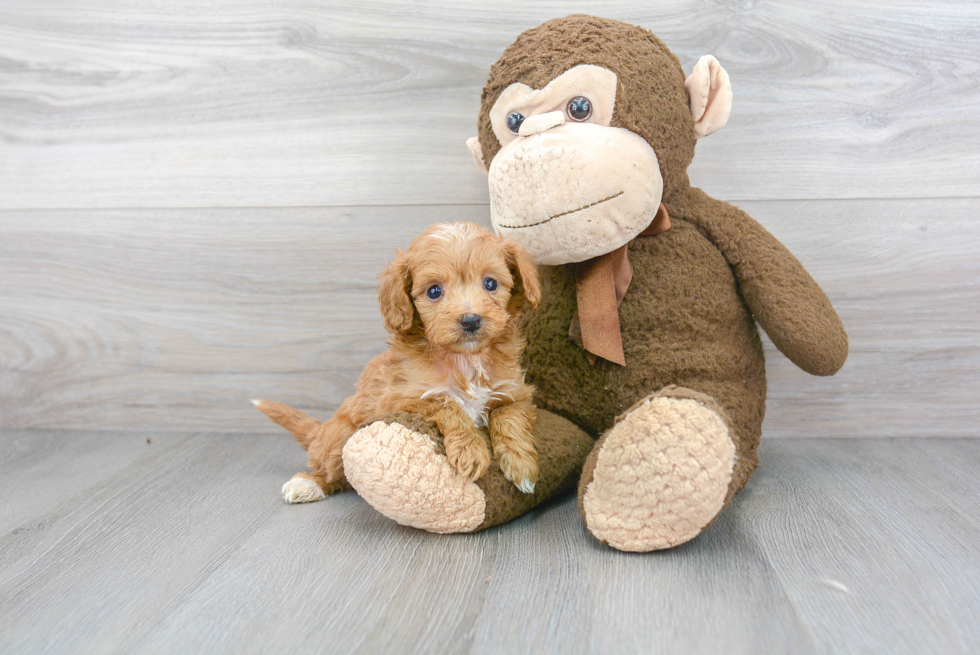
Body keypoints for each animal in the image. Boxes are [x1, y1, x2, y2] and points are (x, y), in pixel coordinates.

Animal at [253, 223, 544, 504]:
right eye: (434, 291)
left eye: (490, 284)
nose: (470, 320)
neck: (465, 359)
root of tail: (321, 430)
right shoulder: (401, 398)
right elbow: (446, 403)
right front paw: (470, 450)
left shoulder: (514, 392)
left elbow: (508, 416)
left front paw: (522, 465)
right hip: (340, 435)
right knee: (332, 469)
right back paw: (308, 484)